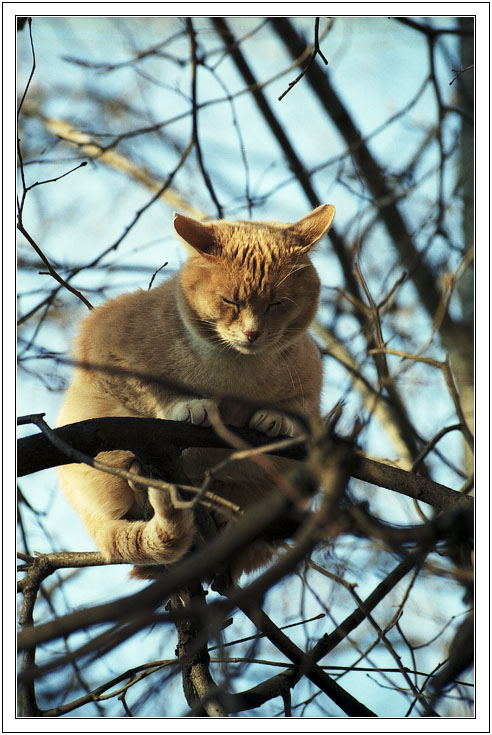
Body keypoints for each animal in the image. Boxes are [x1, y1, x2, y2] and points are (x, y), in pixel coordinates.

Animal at [56, 204, 334, 576]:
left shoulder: (311, 383)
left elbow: (298, 405)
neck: (233, 369)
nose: (252, 333)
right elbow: (154, 390)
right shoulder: (106, 348)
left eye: (277, 303)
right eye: (230, 301)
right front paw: (188, 406)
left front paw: (278, 419)